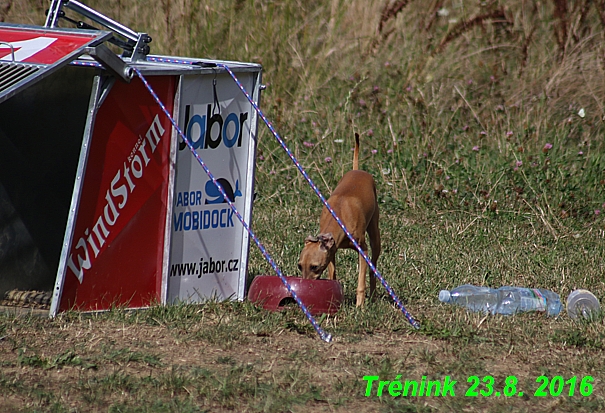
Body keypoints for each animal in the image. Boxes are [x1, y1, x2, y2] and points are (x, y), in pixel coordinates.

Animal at [298, 133, 380, 306]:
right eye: (299, 266)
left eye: (314, 267)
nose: (304, 286)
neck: (339, 216)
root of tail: (357, 170)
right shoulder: (331, 252)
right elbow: (332, 275)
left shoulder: (363, 250)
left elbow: (361, 282)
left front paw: (359, 306)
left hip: (375, 237)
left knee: (372, 269)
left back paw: (373, 296)